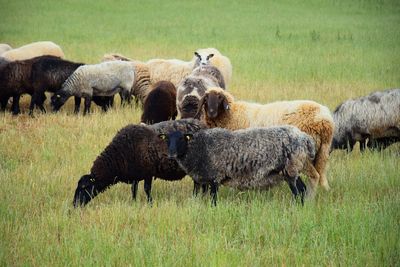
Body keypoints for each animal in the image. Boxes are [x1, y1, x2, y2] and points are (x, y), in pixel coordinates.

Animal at [72, 118, 208, 208]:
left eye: (84, 187)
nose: (74, 205)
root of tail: (204, 125)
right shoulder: (135, 174)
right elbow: (134, 189)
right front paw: (134, 203)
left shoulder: (148, 172)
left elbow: (146, 189)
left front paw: (150, 204)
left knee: (198, 184)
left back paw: (196, 198)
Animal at [159, 126, 316, 206]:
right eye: (167, 139)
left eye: (181, 138)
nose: (171, 154)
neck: (198, 148)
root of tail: (305, 138)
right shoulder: (203, 179)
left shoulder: (215, 177)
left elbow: (213, 199)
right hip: (293, 169)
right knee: (302, 189)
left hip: (290, 168)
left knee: (297, 192)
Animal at [197, 88, 334, 197]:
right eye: (206, 99)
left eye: (220, 98)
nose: (211, 112)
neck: (232, 115)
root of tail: (325, 120)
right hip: (321, 153)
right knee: (319, 174)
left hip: (302, 156)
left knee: (314, 176)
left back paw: (309, 198)